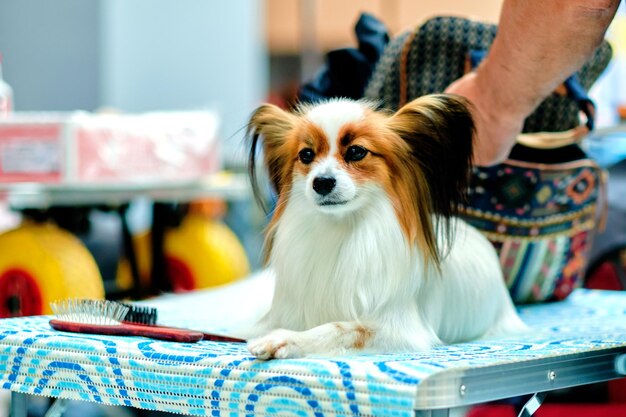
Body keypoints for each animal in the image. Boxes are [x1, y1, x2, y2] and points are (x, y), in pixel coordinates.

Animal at [243, 93, 520, 358]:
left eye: (356, 151)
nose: (321, 182)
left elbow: (339, 328)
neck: (341, 229)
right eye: (306, 155)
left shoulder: (397, 330)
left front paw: (285, 340)